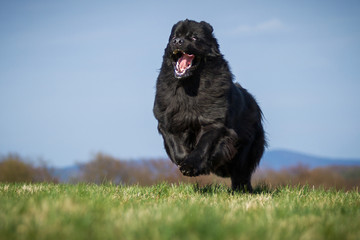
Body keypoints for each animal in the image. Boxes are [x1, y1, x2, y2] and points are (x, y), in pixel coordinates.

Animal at [153, 19, 266, 192]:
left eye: (194, 37)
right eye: (174, 36)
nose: (177, 41)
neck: (189, 85)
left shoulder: (213, 122)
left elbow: (204, 145)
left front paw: (191, 166)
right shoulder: (167, 121)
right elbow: (177, 148)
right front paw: (186, 160)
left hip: (247, 148)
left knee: (241, 173)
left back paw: (240, 189)